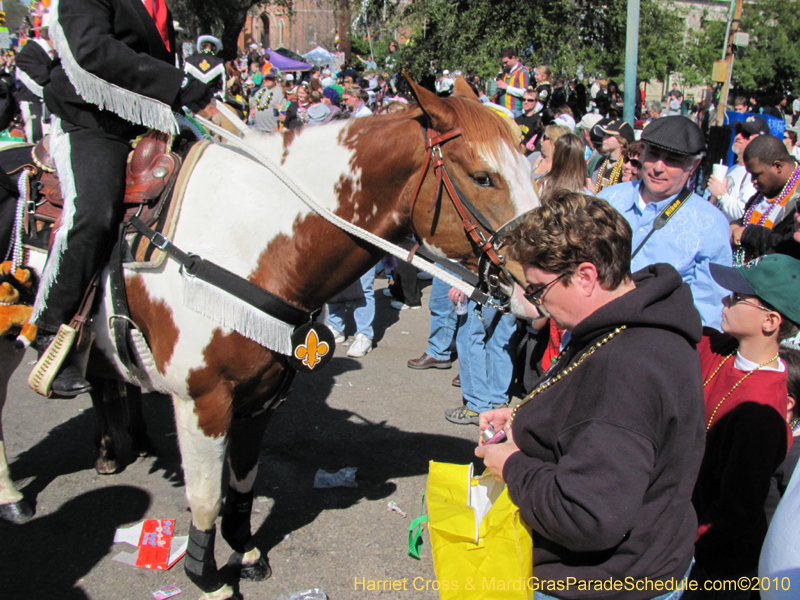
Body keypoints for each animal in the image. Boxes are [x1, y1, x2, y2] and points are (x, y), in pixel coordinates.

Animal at [3, 78, 536, 596]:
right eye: (483, 177)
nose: (540, 279)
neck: (245, 242)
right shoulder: (203, 401)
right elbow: (206, 498)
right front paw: (209, 580)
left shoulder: (259, 399)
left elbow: (242, 483)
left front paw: (245, 551)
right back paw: (17, 495)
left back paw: (115, 447)